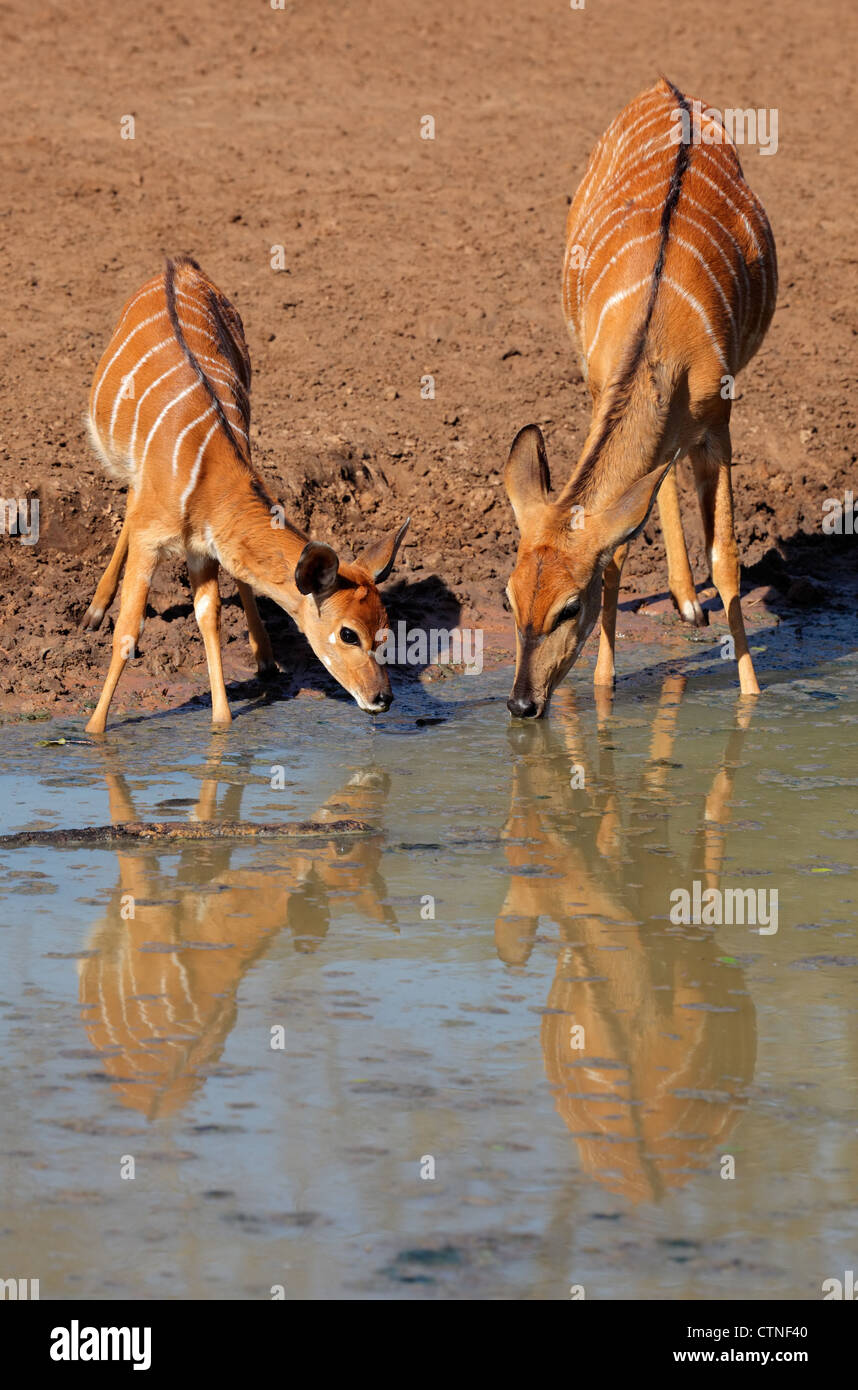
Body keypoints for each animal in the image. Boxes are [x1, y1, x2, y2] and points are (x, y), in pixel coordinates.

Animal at [83, 261, 408, 739]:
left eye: (385, 629)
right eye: (349, 633)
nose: (382, 698)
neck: (206, 475)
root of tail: (179, 266)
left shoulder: (201, 550)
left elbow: (209, 618)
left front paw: (222, 726)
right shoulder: (150, 538)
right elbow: (127, 632)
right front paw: (93, 731)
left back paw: (265, 658)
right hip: (127, 474)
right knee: (127, 506)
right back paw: (93, 610)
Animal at [500, 78, 778, 717]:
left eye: (568, 606)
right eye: (508, 598)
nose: (522, 704)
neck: (661, 323)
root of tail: (664, 87)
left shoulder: (719, 423)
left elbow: (726, 560)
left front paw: (751, 703)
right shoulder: (599, 387)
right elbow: (619, 552)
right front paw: (604, 687)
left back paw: (689, 603)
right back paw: (683, 600)